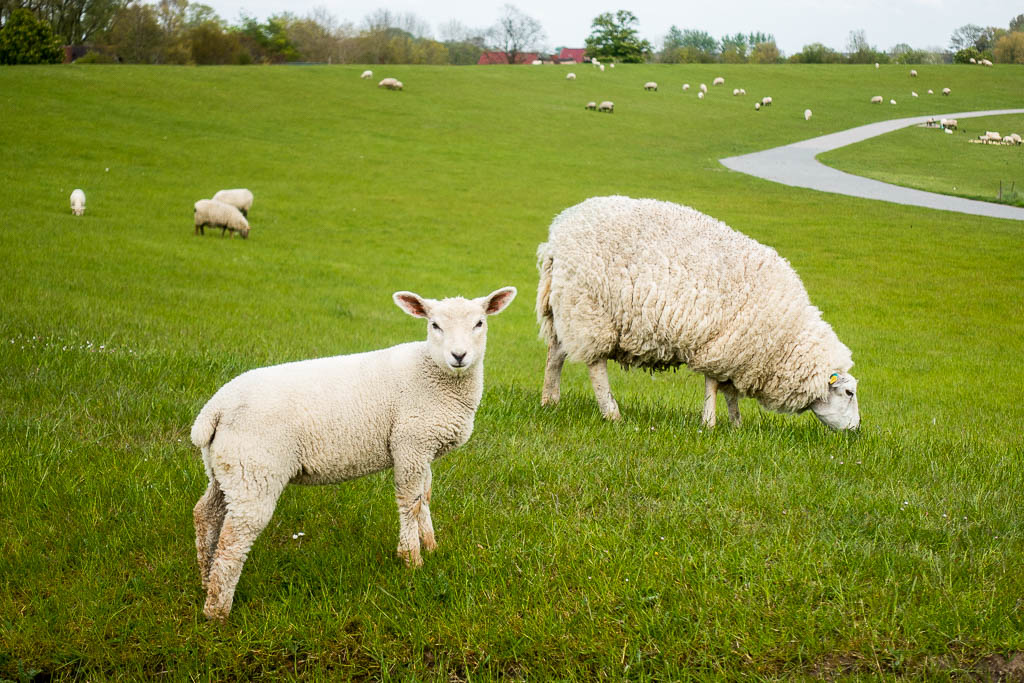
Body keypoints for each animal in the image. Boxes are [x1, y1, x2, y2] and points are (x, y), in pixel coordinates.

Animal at [190, 286, 520, 618]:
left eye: (479, 323)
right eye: (434, 325)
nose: (459, 356)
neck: (433, 375)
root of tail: (215, 408)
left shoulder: (423, 447)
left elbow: (424, 497)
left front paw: (430, 545)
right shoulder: (409, 443)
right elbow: (410, 503)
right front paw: (412, 559)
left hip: (227, 468)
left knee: (206, 513)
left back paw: (205, 579)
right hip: (256, 469)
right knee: (234, 539)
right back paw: (217, 610)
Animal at [532, 197, 860, 430]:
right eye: (849, 393)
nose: (856, 430)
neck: (788, 336)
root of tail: (557, 235)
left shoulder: (735, 353)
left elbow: (729, 391)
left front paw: (736, 425)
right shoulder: (724, 346)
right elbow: (713, 385)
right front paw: (711, 423)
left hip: (564, 307)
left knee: (555, 355)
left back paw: (550, 401)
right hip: (590, 309)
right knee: (595, 365)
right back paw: (612, 414)